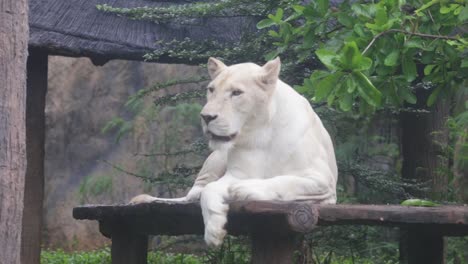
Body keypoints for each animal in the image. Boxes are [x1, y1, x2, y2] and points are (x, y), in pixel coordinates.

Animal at [130, 56, 338, 246]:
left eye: (236, 93)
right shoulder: (237, 173)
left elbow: (284, 181)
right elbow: (211, 189)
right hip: (217, 156)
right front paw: (214, 231)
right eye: (211, 89)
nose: (206, 117)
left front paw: (242, 190)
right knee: (195, 190)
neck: (261, 133)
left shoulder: (321, 181)